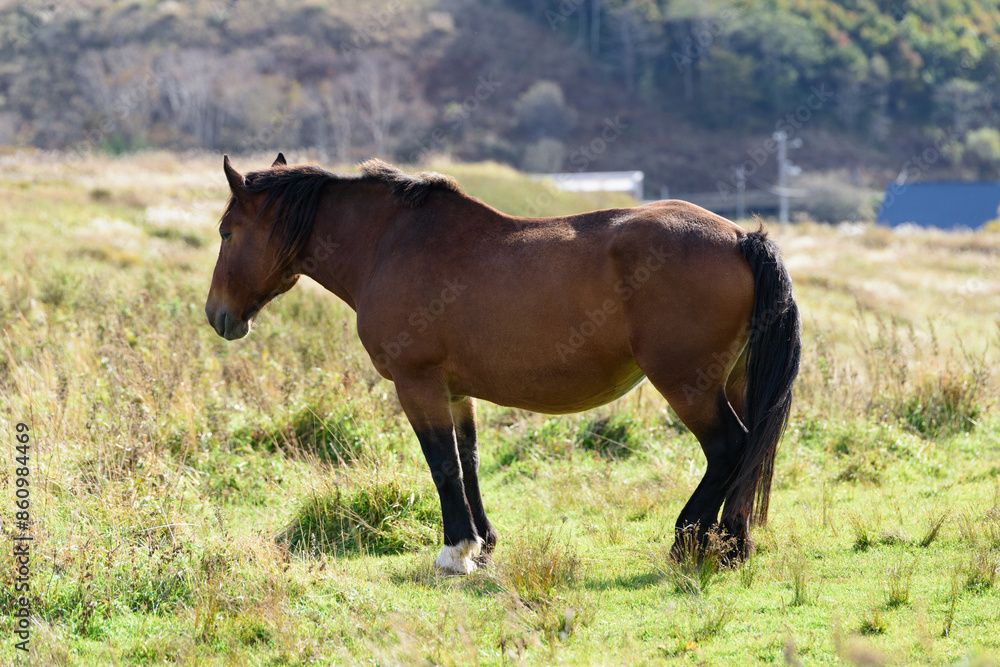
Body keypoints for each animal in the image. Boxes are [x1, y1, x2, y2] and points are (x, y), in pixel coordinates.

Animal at [205, 153, 800, 574]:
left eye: (227, 232)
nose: (217, 315)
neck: (390, 245)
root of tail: (741, 238)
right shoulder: (454, 390)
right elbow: (467, 459)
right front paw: (484, 543)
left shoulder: (417, 384)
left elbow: (441, 461)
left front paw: (455, 550)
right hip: (735, 381)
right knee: (749, 454)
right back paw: (733, 544)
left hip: (687, 385)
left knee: (729, 448)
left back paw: (687, 541)